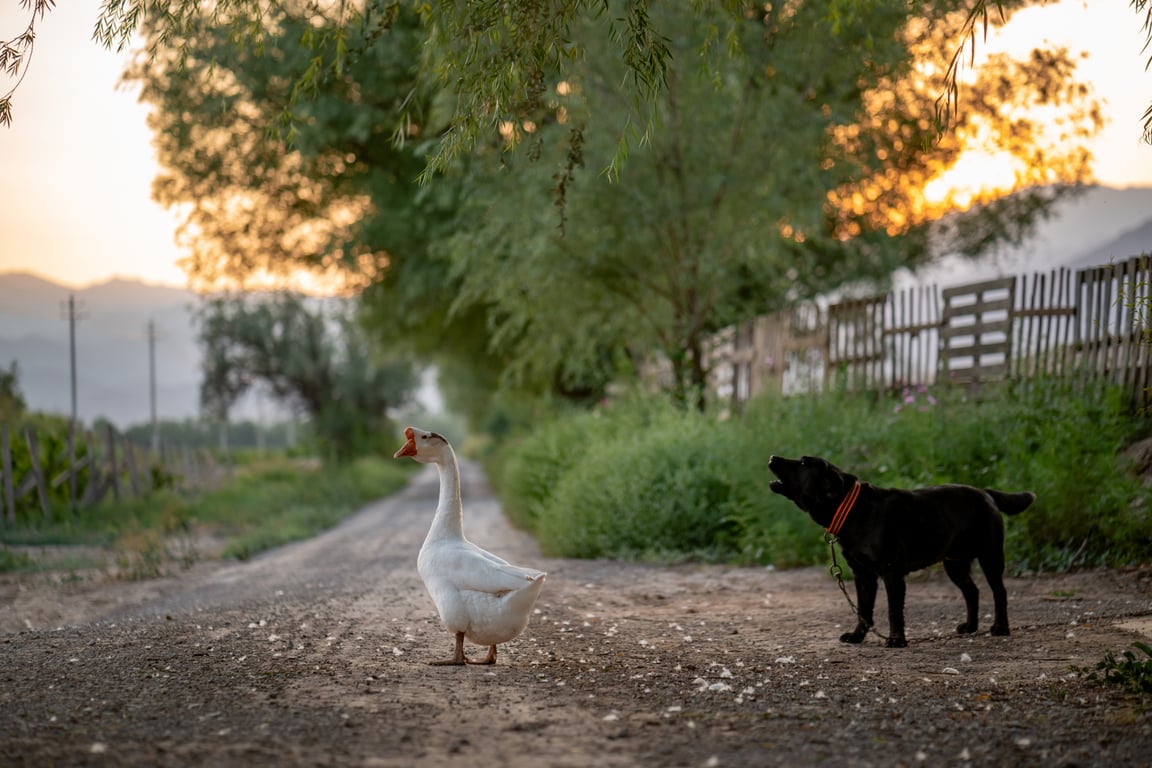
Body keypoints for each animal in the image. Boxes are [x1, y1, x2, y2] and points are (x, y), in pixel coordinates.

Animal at [769, 455, 1032, 649]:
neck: (853, 510)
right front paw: (857, 636)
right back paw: (970, 627)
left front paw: (896, 640)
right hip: (954, 563)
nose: (772, 457)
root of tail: (986, 492)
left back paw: (1001, 628)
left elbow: (894, 611)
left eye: (803, 463)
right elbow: (863, 610)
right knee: (972, 591)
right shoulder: (863, 576)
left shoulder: (891, 573)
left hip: (990, 556)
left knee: (999, 592)